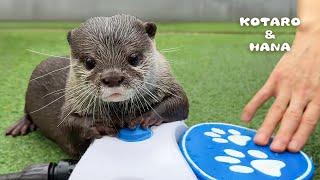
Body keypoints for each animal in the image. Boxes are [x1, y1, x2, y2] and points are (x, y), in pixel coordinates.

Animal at [5, 14, 188, 157]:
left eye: (134, 58)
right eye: (89, 62)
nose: (113, 78)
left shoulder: (167, 82)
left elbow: (180, 103)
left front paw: (146, 116)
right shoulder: (70, 103)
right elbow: (66, 124)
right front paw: (99, 125)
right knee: (27, 112)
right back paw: (20, 126)